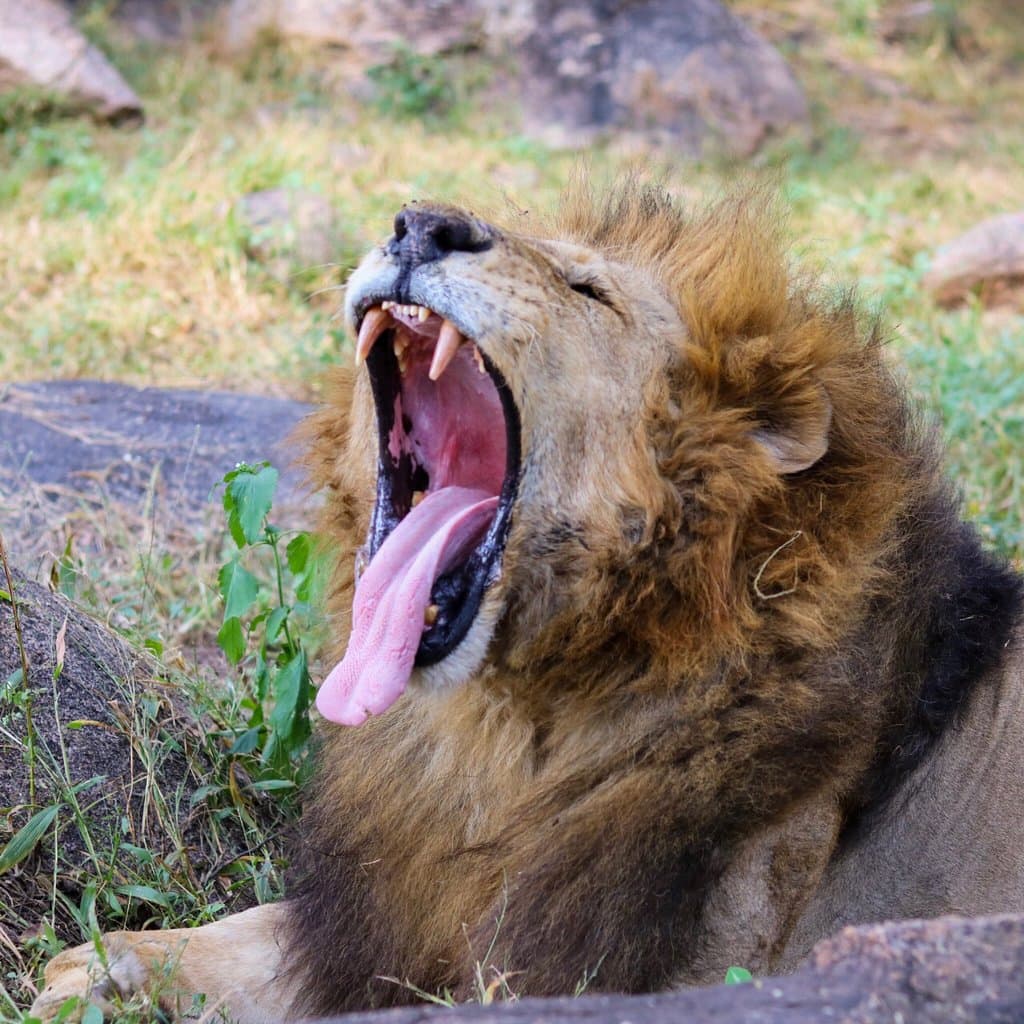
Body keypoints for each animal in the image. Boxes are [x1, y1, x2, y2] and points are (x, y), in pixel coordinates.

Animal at [32, 185, 1024, 1022]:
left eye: (590, 291)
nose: (422, 226)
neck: (502, 733)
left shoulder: (647, 966)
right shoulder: (400, 909)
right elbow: (259, 937)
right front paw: (101, 968)